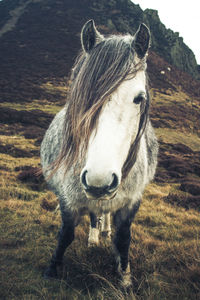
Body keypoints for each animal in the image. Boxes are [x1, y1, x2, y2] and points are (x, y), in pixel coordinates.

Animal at [40, 19, 158, 288]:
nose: (99, 180)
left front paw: (124, 277)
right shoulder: (69, 199)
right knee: (95, 214)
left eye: (139, 98)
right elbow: (66, 234)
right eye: (81, 95)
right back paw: (95, 237)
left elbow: (124, 238)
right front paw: (52, 269)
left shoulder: (132, 201)